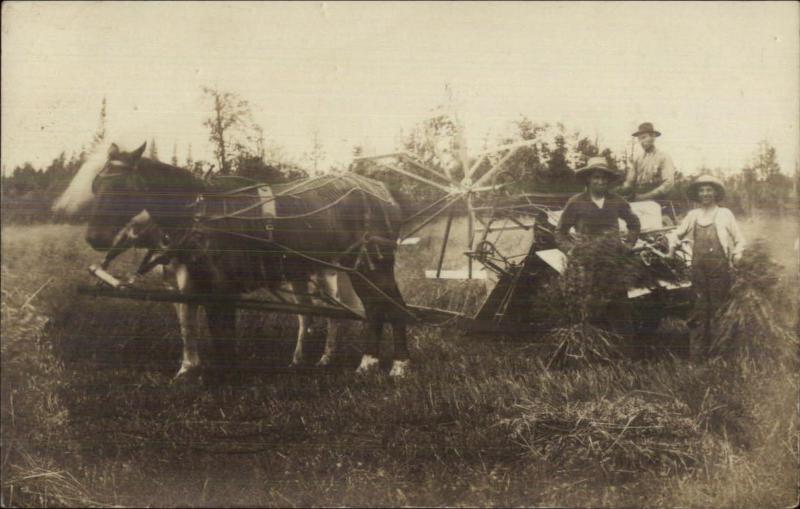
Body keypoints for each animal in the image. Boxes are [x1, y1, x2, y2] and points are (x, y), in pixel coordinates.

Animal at [83, 141, 412, 380]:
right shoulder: (194, 286)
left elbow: (223, 334)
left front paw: (226, 377)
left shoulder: (222, 289)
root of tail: (385, 193)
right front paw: (191, 372)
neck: (200, 215)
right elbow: (195, 328)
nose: (95, 238)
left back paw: (399, 366)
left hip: (373, 266)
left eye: (124, 188)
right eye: (96, 185)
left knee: (394, 307)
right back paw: (366, 363)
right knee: (373, 309)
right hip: (353, 268)